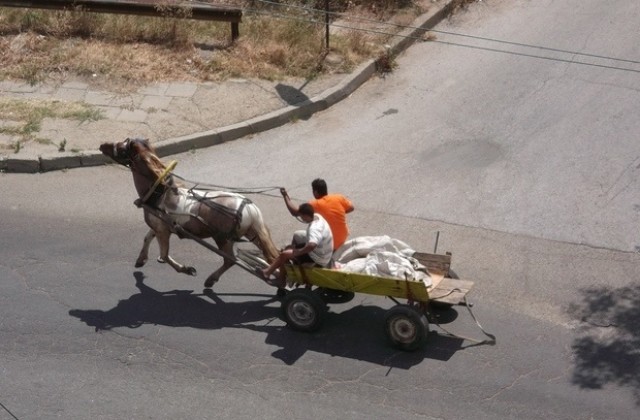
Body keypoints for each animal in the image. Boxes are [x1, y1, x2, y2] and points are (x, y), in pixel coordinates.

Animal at [100, 136, 280, 288]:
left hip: (222, 238)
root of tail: (248, 207)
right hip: (252, 233)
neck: (158, 194)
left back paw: (211, 279)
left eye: (122, 147)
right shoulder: (159, 226)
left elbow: (164, 255)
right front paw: (141, 259)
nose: (102, 145)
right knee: (271, 257)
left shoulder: (162, 231)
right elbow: (147, 238)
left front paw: (186, 269)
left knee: (230, 260)